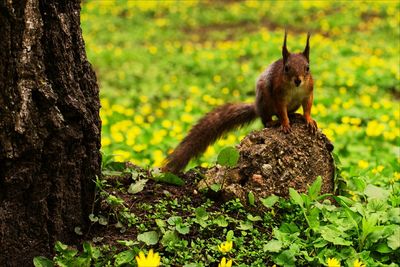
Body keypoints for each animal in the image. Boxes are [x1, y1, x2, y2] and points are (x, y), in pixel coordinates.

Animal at [162, 31, 316, 174]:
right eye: (286, 68)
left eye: (308, 67)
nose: (298, 80)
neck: (295, 88)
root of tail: (257, 107)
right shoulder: (279, 95)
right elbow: (282, 111)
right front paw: (285, 124)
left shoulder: (308, 93)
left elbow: (307, 107)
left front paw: (309, 120)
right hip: (265, 100)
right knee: (267, 118)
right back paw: (274, 122)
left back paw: (294, 115)